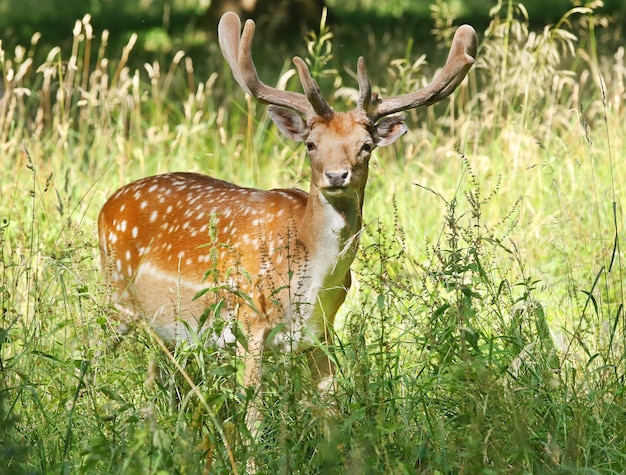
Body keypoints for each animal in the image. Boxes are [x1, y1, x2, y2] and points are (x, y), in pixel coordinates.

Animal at [100, 11, 476, 440]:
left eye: (365, 146)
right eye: (311, 144)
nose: (336, 175)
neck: (308, 278)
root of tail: (107, 204)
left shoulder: (322, 332)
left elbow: (331, 413)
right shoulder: (248, 323)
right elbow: (253, 419)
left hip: (166, 327)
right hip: (116, 298)